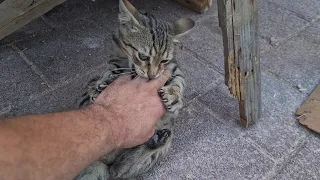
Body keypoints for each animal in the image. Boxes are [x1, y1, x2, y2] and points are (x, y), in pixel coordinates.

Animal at [75, 0, 195, 179]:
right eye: (143, 56)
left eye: (164, 60)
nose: (152, 75)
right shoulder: (114, 61)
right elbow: (110, 71)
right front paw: (102, 85)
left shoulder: (174, 68)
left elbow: (179, 81)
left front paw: (174, 95)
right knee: (115, 170)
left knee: (119, 169)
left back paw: (157, 139)